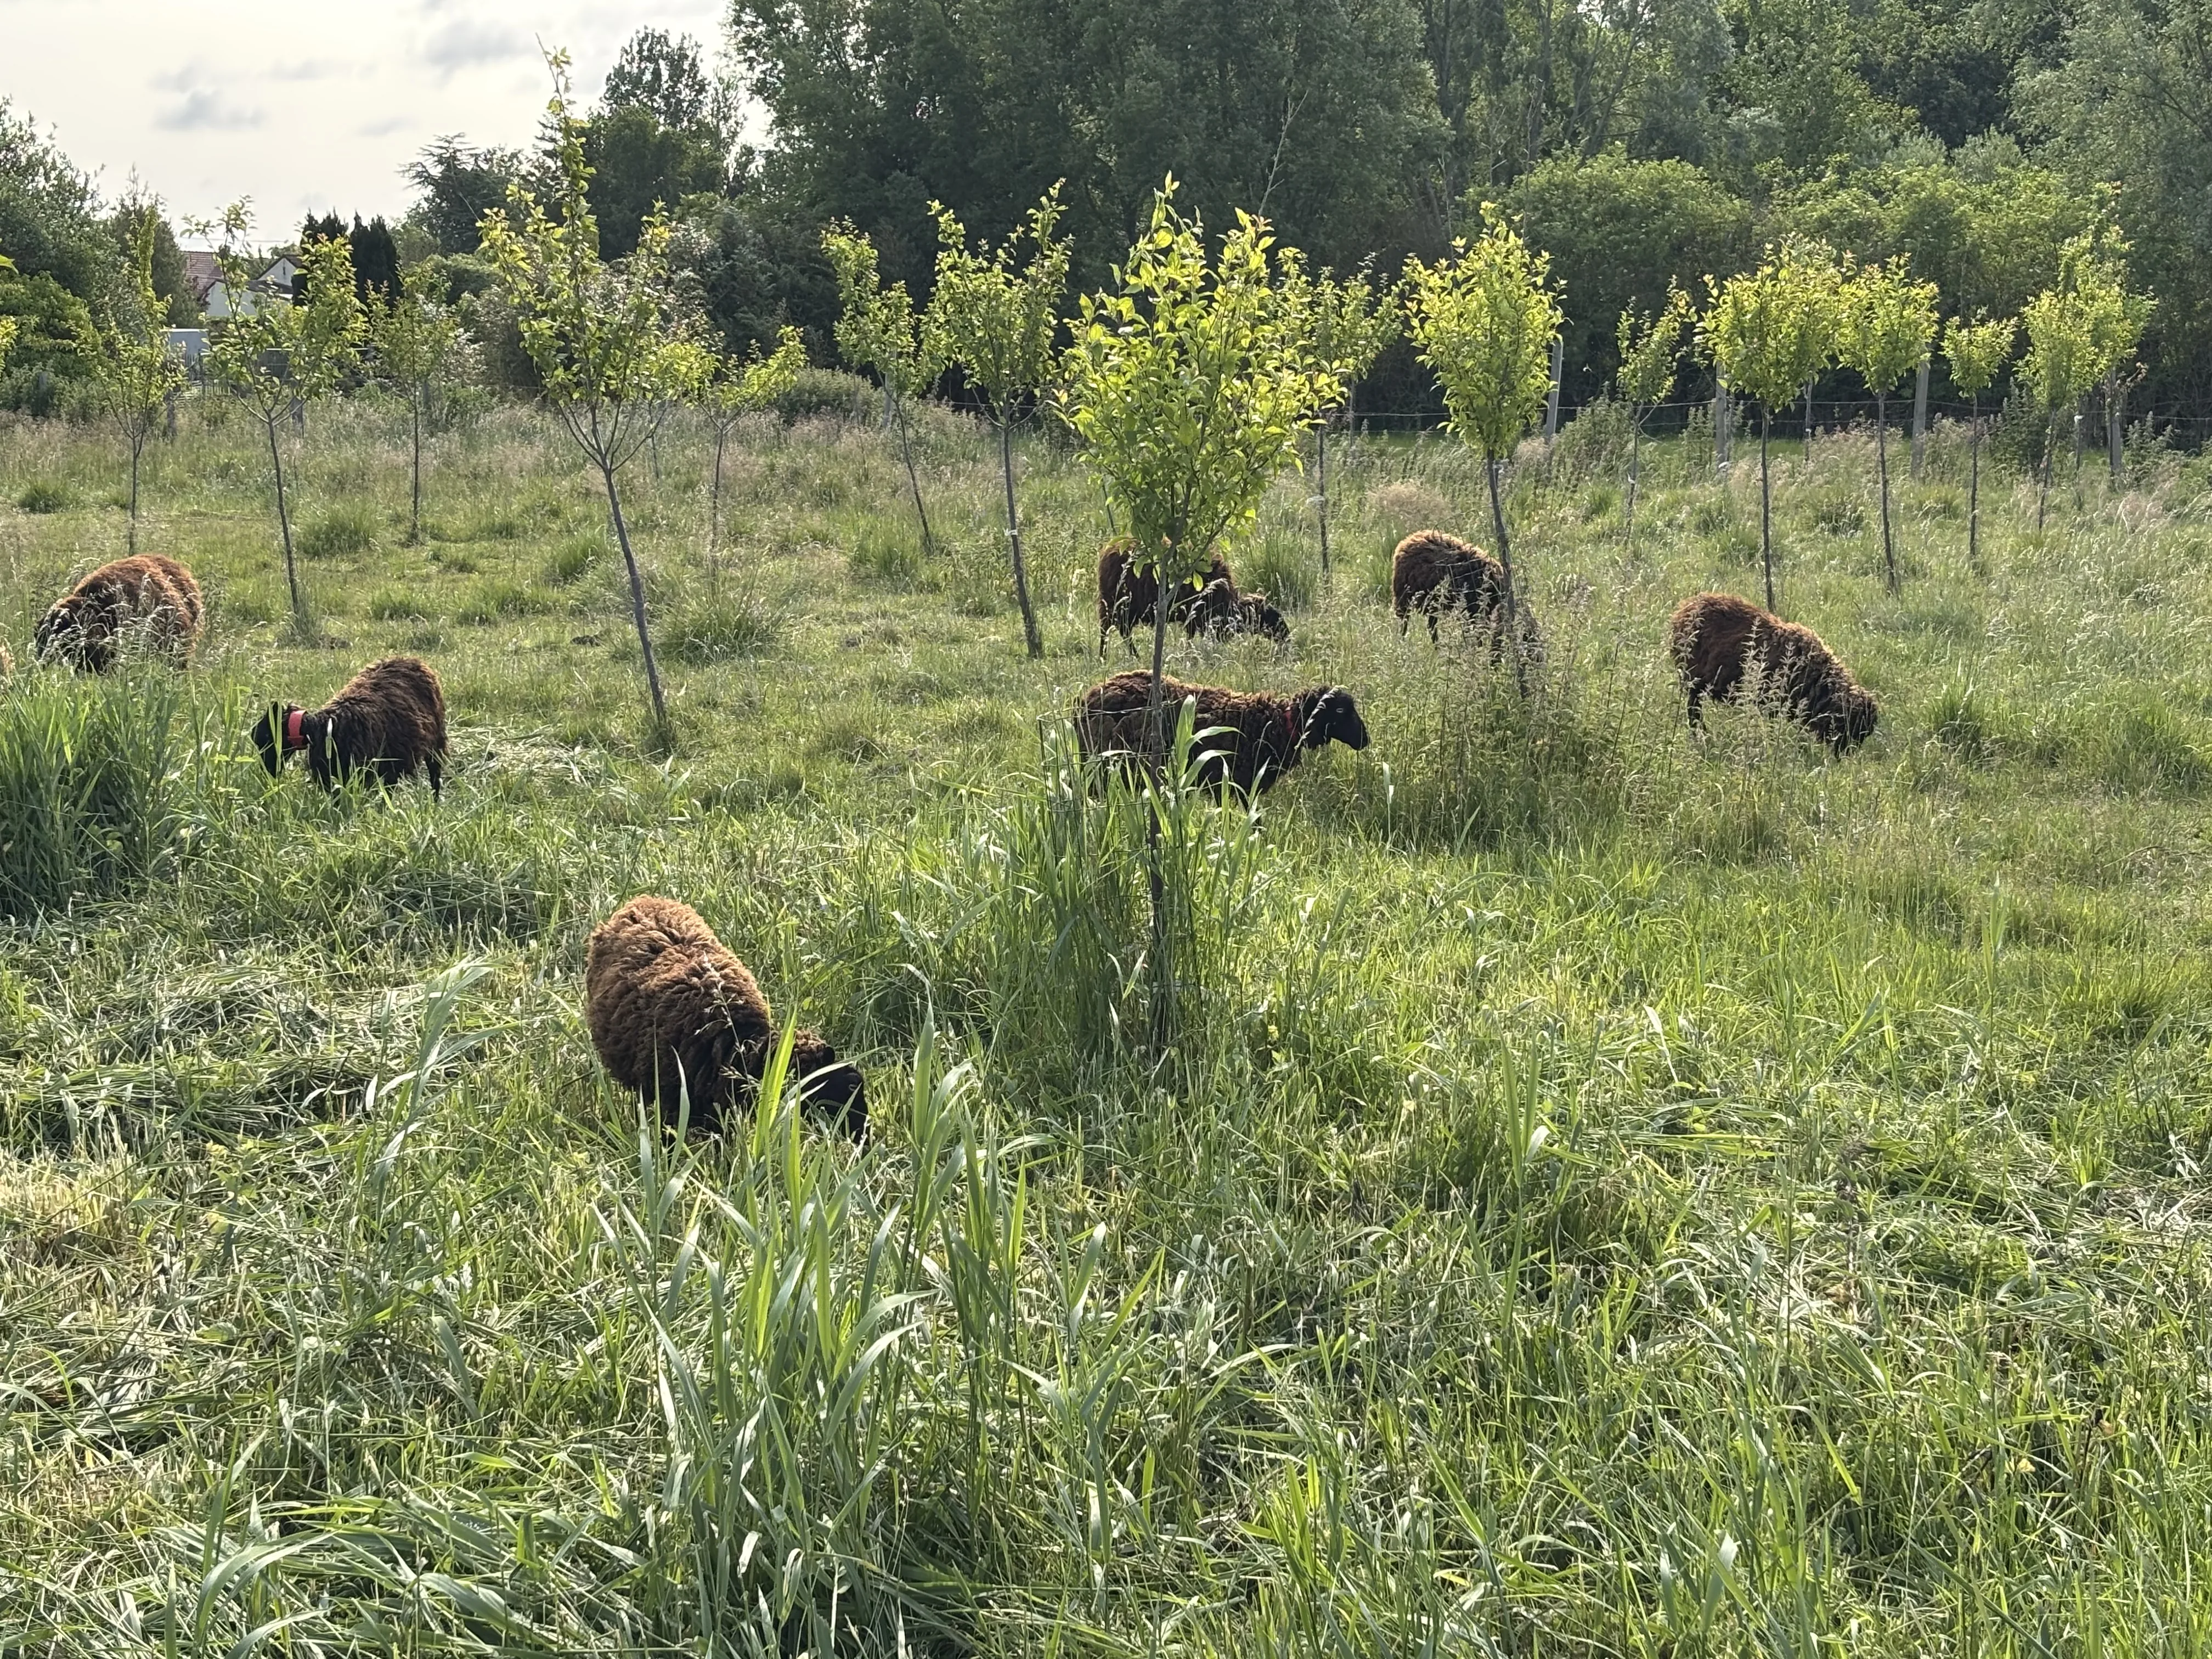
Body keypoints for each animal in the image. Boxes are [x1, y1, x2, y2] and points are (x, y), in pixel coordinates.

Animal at [250, 655, 450, 797]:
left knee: (436, 777)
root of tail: (412, 659)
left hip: (437, 741)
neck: (322, 728)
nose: (267, 774)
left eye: (265, 738)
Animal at [1096, 537, 1236, 656]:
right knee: (1109, 629)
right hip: (1119, 604)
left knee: (1120, 630)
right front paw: (1188, 653)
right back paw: (1107, 656)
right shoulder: (1195, 612)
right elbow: (1190, 636)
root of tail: (1108, 552)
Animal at [1389, 531, 1540, 660]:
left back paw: (1438, 650)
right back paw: (1404, 645)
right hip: (1404, 597)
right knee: (1405, 623)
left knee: (1432, 627)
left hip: (1433, 603)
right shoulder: (1474, 609)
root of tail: (1408, 540)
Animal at [1667, 591, 1877, 753]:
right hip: (1693, 679)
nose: (1845, 755)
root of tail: (1685, 609)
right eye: (1854, 725)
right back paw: (1701, 735)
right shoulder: (1771, 703)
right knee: (1694, 710)